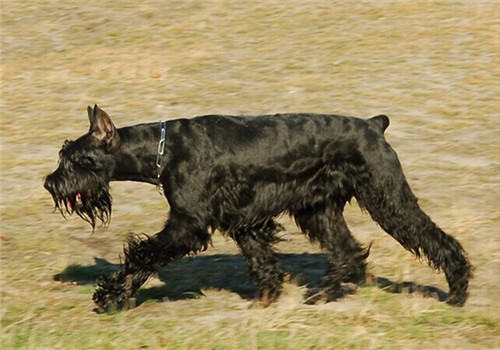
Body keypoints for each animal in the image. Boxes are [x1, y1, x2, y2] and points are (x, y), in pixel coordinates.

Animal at [45, 104, 470, 312]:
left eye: (75, 159)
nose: (50, 182)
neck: (163, 150)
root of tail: (373, 124)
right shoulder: (243, 219)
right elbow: (260, 260)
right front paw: (268, 297)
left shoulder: (188, 225)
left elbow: (141, 254)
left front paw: (109, 296)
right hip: (318, 209)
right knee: (347, 251)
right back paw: (321, 295)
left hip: (387, 198)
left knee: (436, 239)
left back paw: (458, 292)